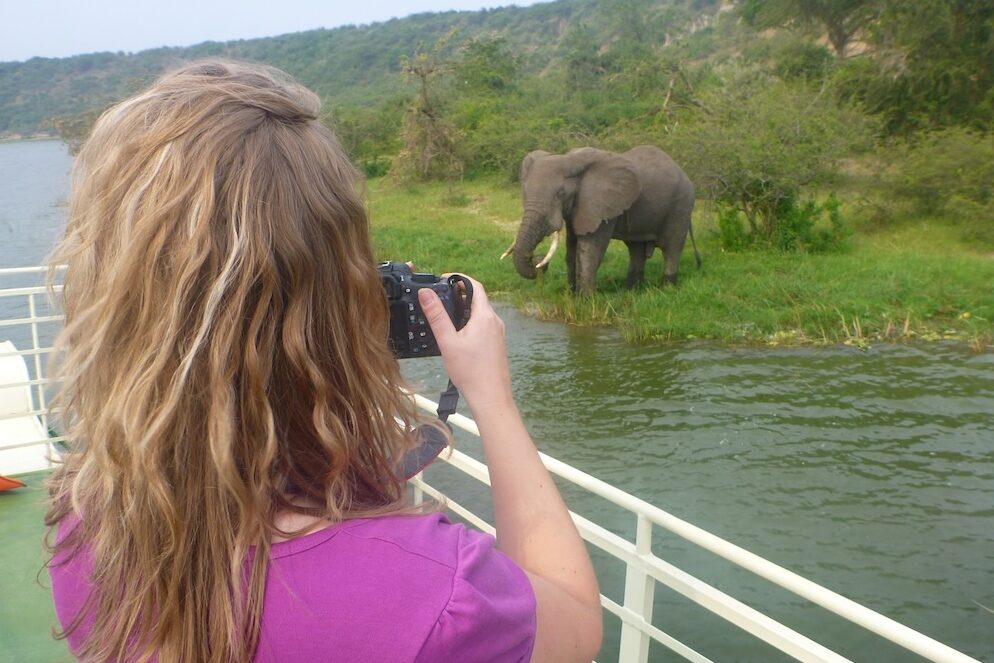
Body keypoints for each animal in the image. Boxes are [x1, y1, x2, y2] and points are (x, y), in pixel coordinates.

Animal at [504, 147, 696, 294]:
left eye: (561, 194)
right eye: (524, 193)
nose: (537, 260)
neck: (569, 159)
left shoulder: (599, 204)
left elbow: (590, 249)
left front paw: (586, 302)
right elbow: (571, 247)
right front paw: (572, 296)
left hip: (681, 205)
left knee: (671, 248)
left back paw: (667, 290)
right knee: (636, 249)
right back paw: (631, 292)